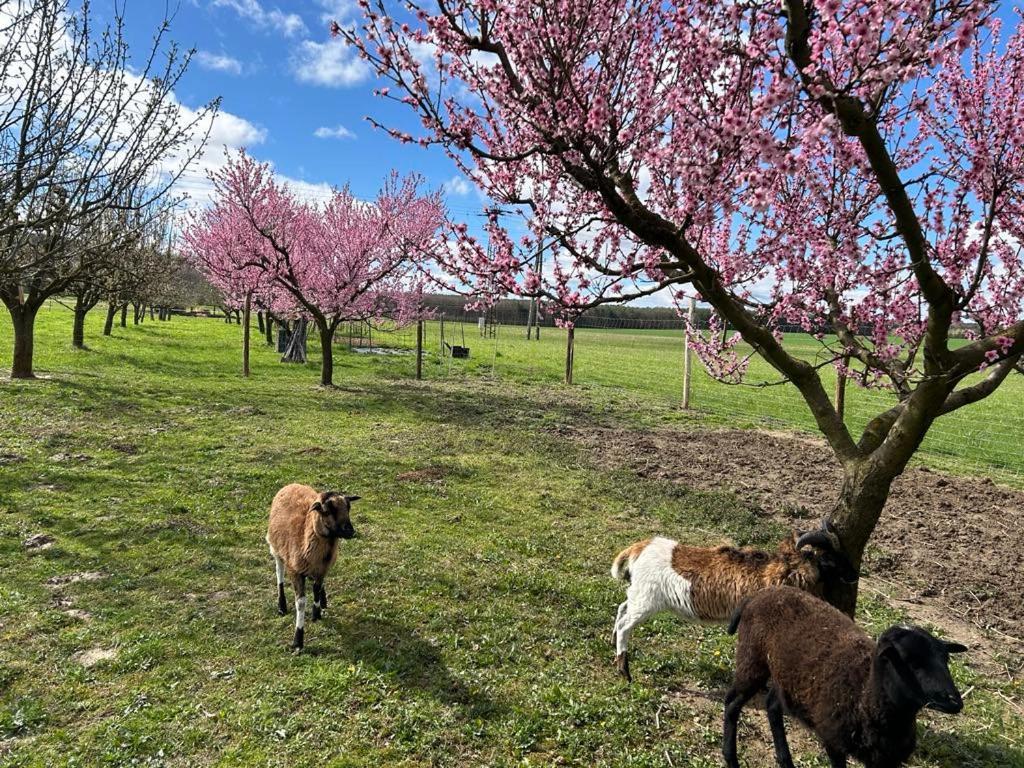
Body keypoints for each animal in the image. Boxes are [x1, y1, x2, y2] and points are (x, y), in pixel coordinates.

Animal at [268, 483, 360, 651]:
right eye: (327, 511)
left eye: (348, 508)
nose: (350, 531)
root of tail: (292, 484)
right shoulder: (295, 572)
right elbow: (300, 603)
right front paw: (298, 640)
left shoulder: (322, 569)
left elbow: (316, 590)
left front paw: (316, 613)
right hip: (275, 548)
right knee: (279, 573)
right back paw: (281, 606)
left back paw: (323, 601)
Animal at [724, 585, 962, 765]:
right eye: (910, 662)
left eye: (945, 659)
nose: (954, 701)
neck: (865, 695)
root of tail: (760, 593)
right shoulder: (834, 742)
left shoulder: (886, 760)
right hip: (752, 659)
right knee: (732, 703)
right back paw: (730, 758)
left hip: (786, 676)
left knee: (772, 705)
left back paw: (785, 761)